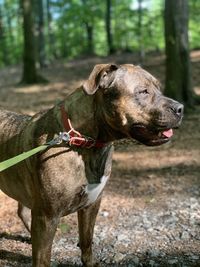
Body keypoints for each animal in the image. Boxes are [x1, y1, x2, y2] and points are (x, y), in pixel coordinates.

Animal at [0, 63, 184, 266]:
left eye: (159, 88)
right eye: (143, 91)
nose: (180, 108)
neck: (82, 140)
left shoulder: (92, 204)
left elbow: (87, 239)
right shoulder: (47, 216)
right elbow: (43, 257)